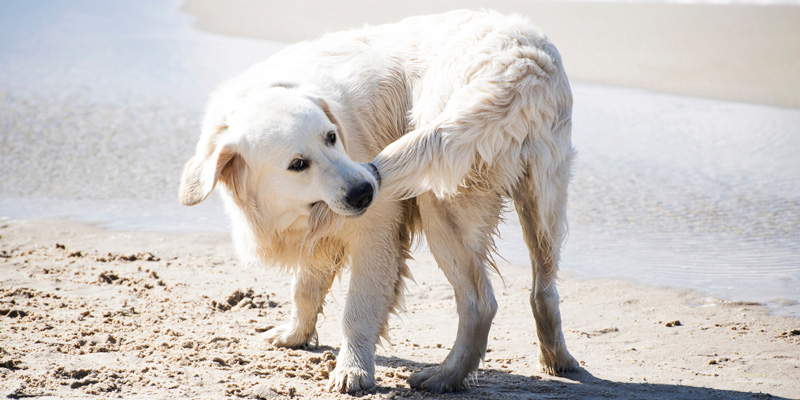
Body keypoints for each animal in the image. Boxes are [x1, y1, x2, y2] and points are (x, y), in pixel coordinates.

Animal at [180, 9, 580, 394]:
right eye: (298, 164)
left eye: (331, 137)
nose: (365, 191)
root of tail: (520, 65)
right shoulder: (319, 233)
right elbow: (305, 288)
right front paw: (295, 335)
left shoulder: (376, 231)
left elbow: (357, 310)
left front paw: (353, 371)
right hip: (542, 201)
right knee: (544, 290)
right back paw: (557, 360)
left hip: (440, 201)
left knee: (481, 303)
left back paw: (445, 376)